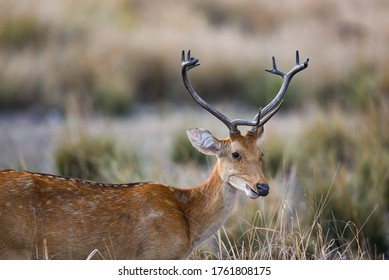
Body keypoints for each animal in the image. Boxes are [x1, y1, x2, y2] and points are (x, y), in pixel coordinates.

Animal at [0, 50, 310, 260]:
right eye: (235, 153)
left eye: (261, 153)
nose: (262, 187)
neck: (188, 223)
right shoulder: (156, 254)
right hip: (14, 250)